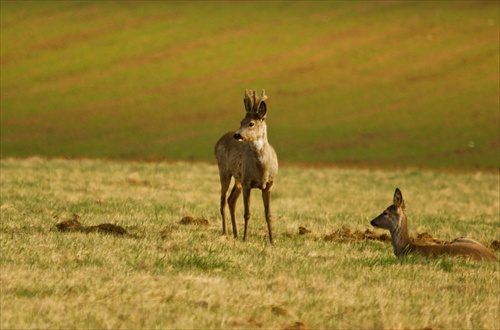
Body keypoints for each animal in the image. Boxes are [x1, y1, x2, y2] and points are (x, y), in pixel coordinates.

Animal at [214, 89, 280, 244]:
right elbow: (247, 213)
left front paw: (272, 241)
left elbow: (268, 214)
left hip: (237, 179)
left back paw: (235, 233)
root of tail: (218, 141)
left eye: (251, 123)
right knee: (222, 201)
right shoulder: (247, 182)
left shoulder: (269, 184)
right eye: (241, 121)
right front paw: (245, 238)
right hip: (224, 171)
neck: (262, 169)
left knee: (231, 200)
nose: (237, 135)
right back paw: (226, 233)